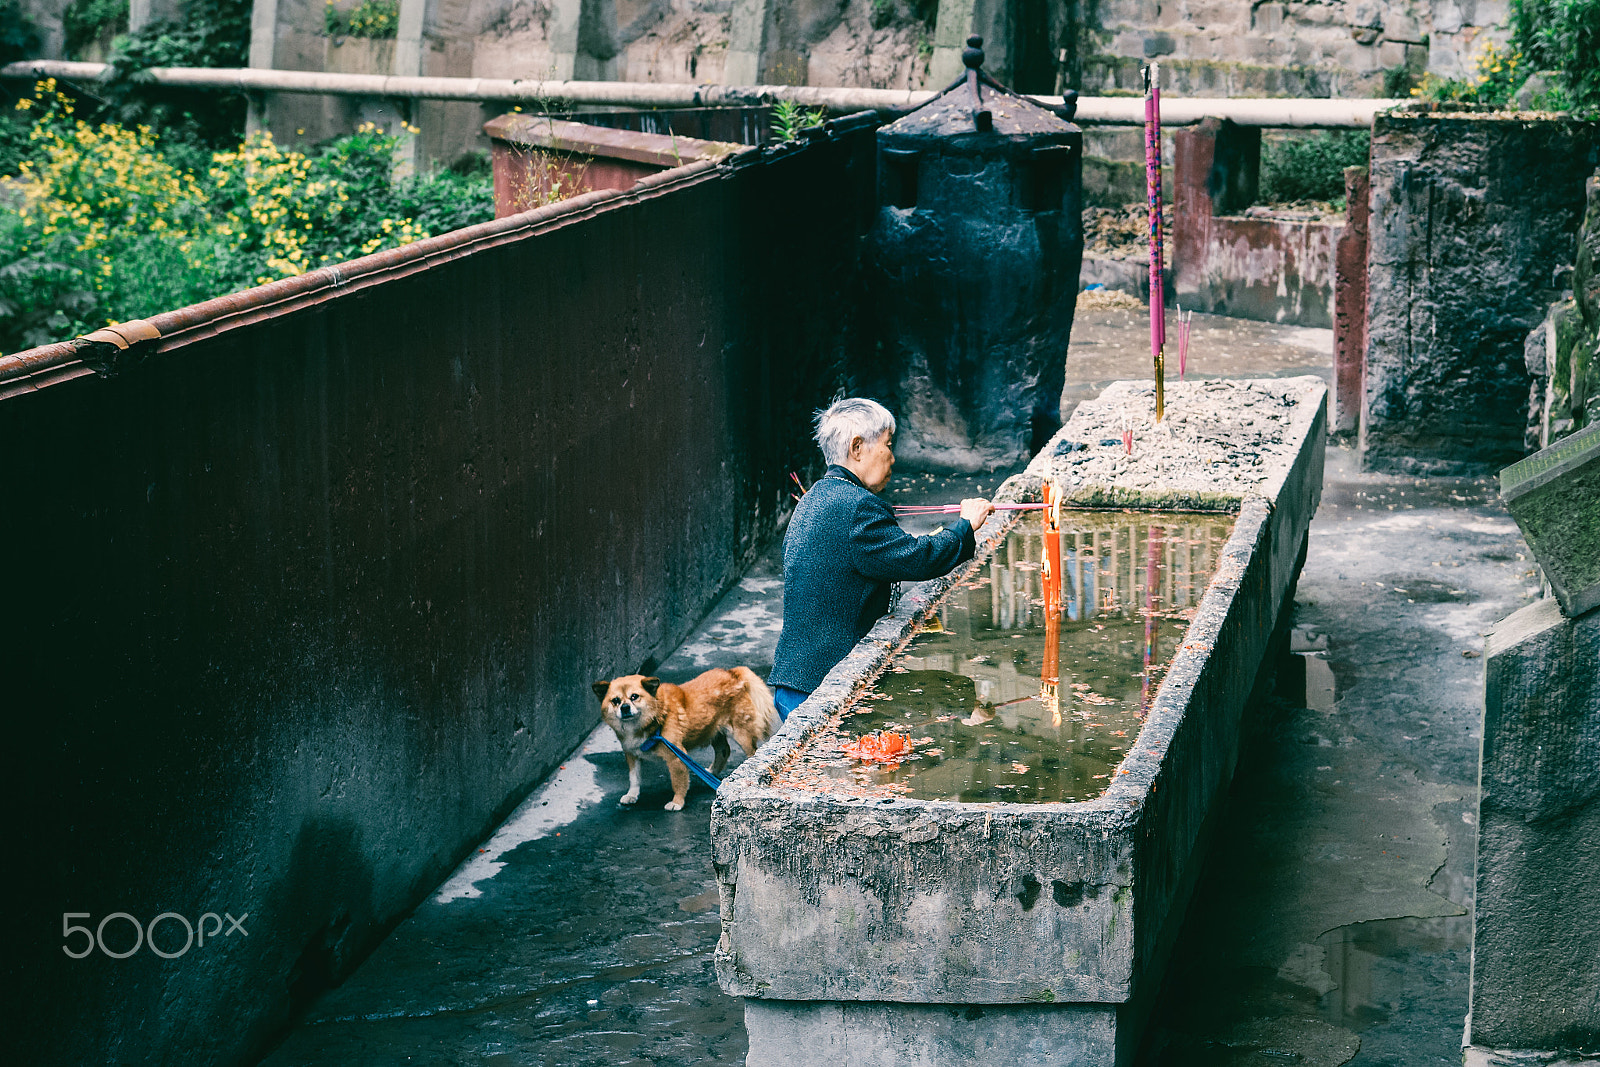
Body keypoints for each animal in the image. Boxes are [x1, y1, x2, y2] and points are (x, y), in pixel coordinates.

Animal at [595, 668, 780, 809]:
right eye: (615, 700)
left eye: (634, 696)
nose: (625, 708)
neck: (653, 722)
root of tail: (732, 673)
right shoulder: (631, 754)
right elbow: (634, 777)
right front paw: (632, 795)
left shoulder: (675, 757)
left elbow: (678, 782)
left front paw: (677, 802)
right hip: (713, 731)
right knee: (724, 751)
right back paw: (709, 772)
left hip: (741, 734)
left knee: (751, 751)